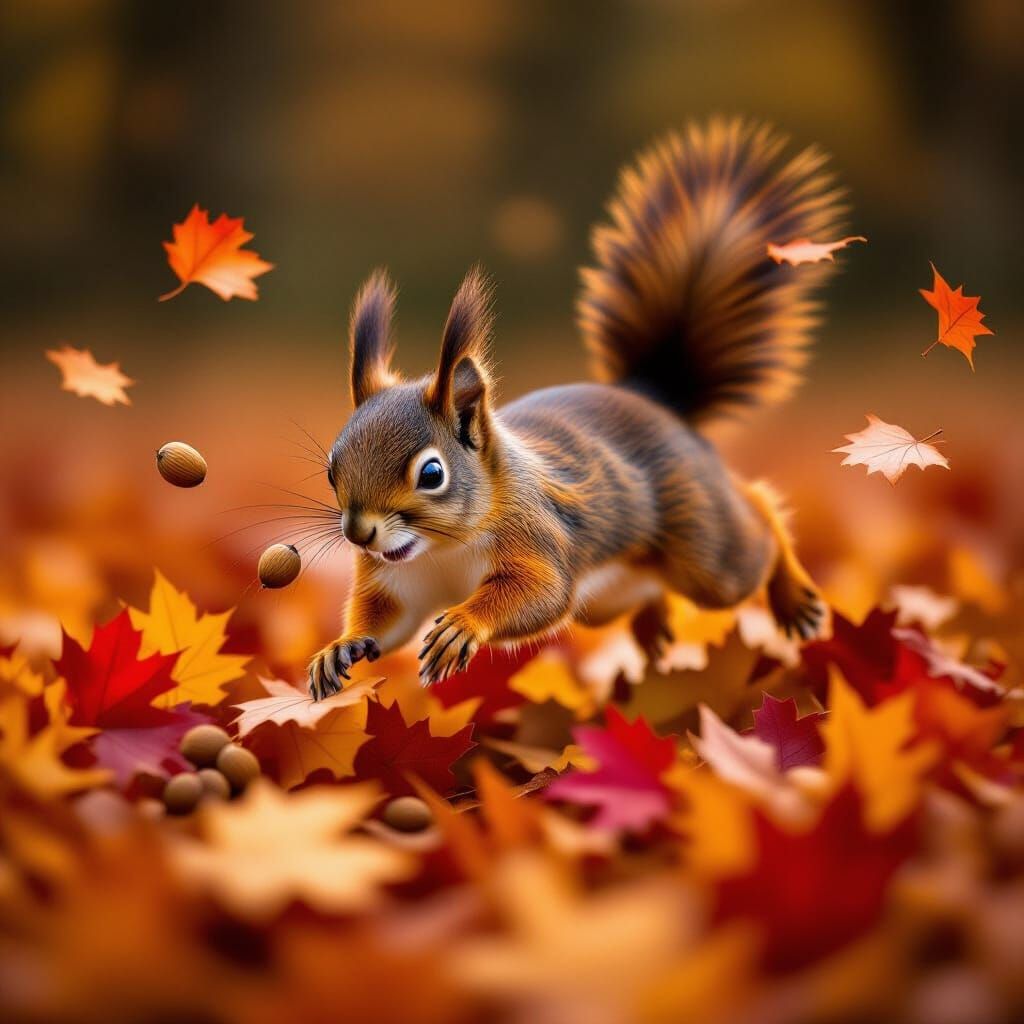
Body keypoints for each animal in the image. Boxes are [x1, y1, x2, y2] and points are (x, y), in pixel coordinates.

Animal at [308, 117, 844, 700]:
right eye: (331, 470)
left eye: (432, 473)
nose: (359, 534)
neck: (440, 550)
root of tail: (654, 398)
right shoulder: (395, 582)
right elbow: (384, 621)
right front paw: (339, 647)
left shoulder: (537, 534)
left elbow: (539, 593)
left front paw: (463, 625)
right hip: (608, 600)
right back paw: (653, 629)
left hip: (708, 554)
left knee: (758, 522)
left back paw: (792, 597)